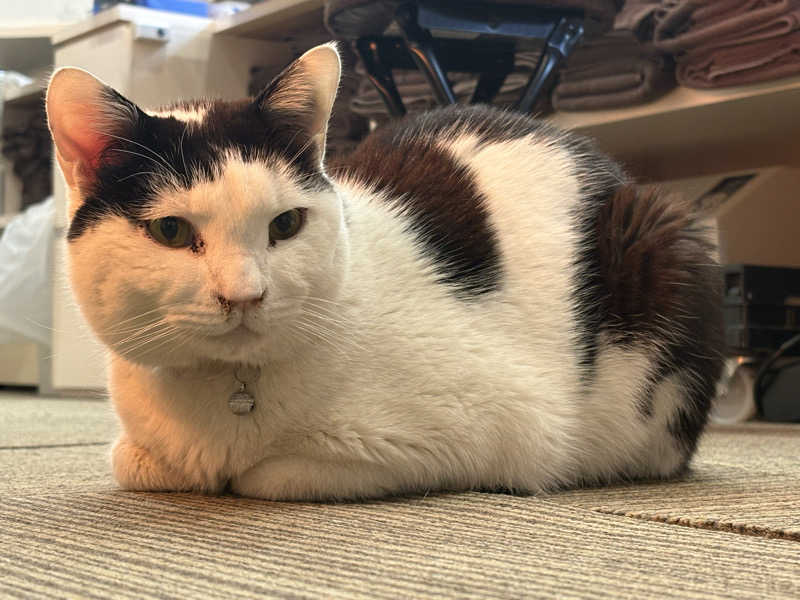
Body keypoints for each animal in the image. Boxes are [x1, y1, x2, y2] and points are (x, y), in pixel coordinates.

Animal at [45, 43, 724, 500]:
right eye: (171, 232)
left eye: (285, 225)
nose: (245, 295)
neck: (228, 391)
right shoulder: (139, 444)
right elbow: (133, 462)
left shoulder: (505, 428)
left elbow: (271, 475)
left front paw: (242, 472)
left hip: (665, 243)